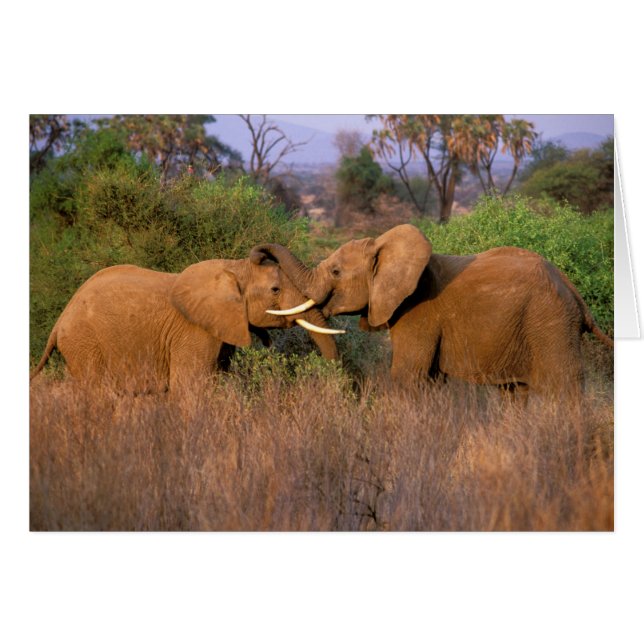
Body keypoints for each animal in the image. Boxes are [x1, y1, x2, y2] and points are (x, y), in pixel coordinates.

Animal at [30, 249, 342, 392]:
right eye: (275, 290)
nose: (261, 251)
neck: (233, 268)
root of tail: (59, 321)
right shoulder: (194, 331)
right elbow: (191, 388)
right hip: (85, 343)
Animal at [253, 224, 613, 398]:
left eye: (336, 272)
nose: (258, 255)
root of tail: (574, 292)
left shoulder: (418, 312)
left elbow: (407, 376)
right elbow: (429, 380)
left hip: (550, 322)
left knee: (564, 389)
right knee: (514, 392)